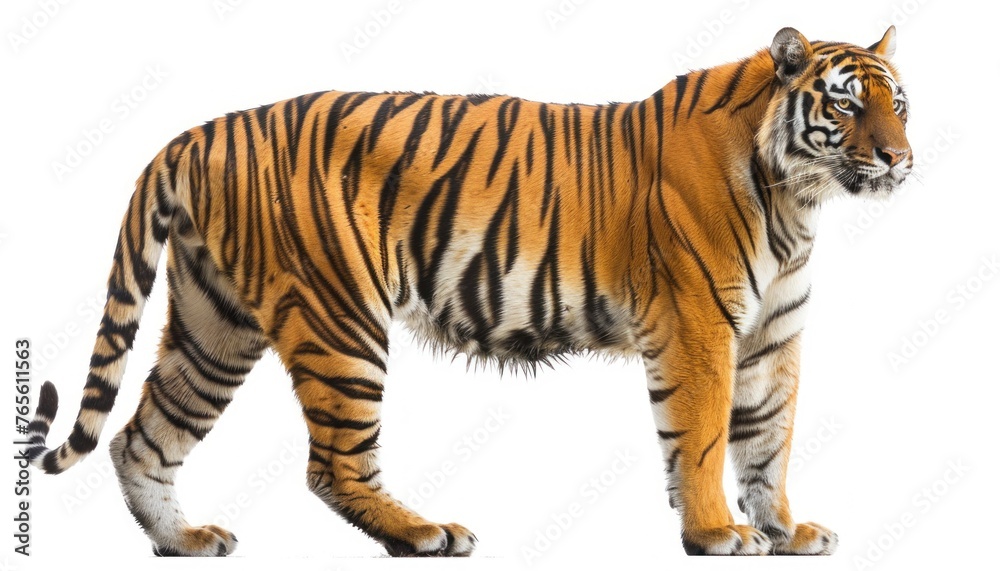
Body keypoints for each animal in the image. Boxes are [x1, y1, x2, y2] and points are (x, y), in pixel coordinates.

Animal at [24, 25, 910, 557]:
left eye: (897, 101)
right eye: (845, 104)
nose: (899, 158)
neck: (797, 199)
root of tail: (198, 131)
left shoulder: (770, 338)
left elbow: (768, 438)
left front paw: (785, 528)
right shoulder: (699, 326)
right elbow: (701, 436)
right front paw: (717, 532)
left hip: (217, 324)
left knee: (144, 436)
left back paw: (184, 541)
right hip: (340, 319)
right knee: (332, 465)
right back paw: (424, 533)